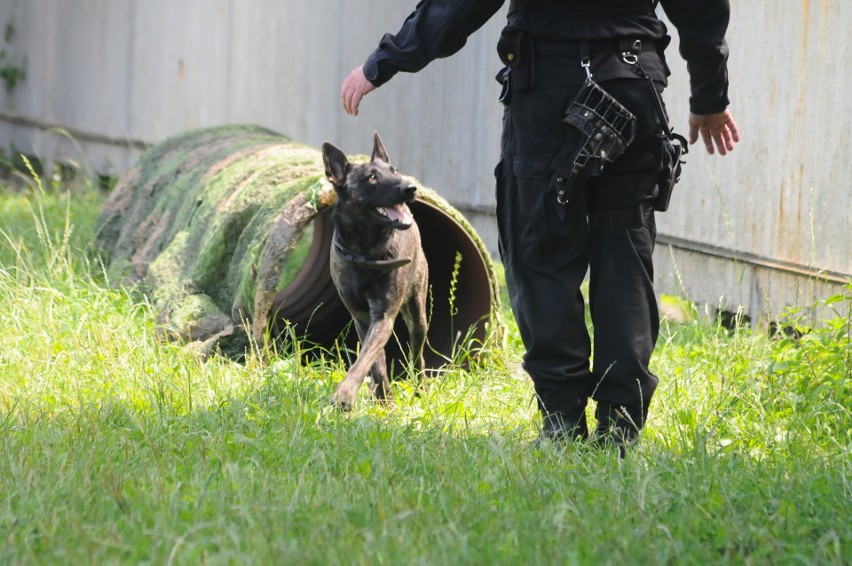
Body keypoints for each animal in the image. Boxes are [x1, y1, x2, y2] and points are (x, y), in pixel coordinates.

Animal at [320, 133, 430, 408]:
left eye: (395, 170)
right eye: (371, 177)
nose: (410, 188)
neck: (365, 251)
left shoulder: (383, 315)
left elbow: (365, 359)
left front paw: (345, 394)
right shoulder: (363, 318)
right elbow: (374, 362)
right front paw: (384, 399)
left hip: (417, 314)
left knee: (418, 355)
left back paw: (421, 389)